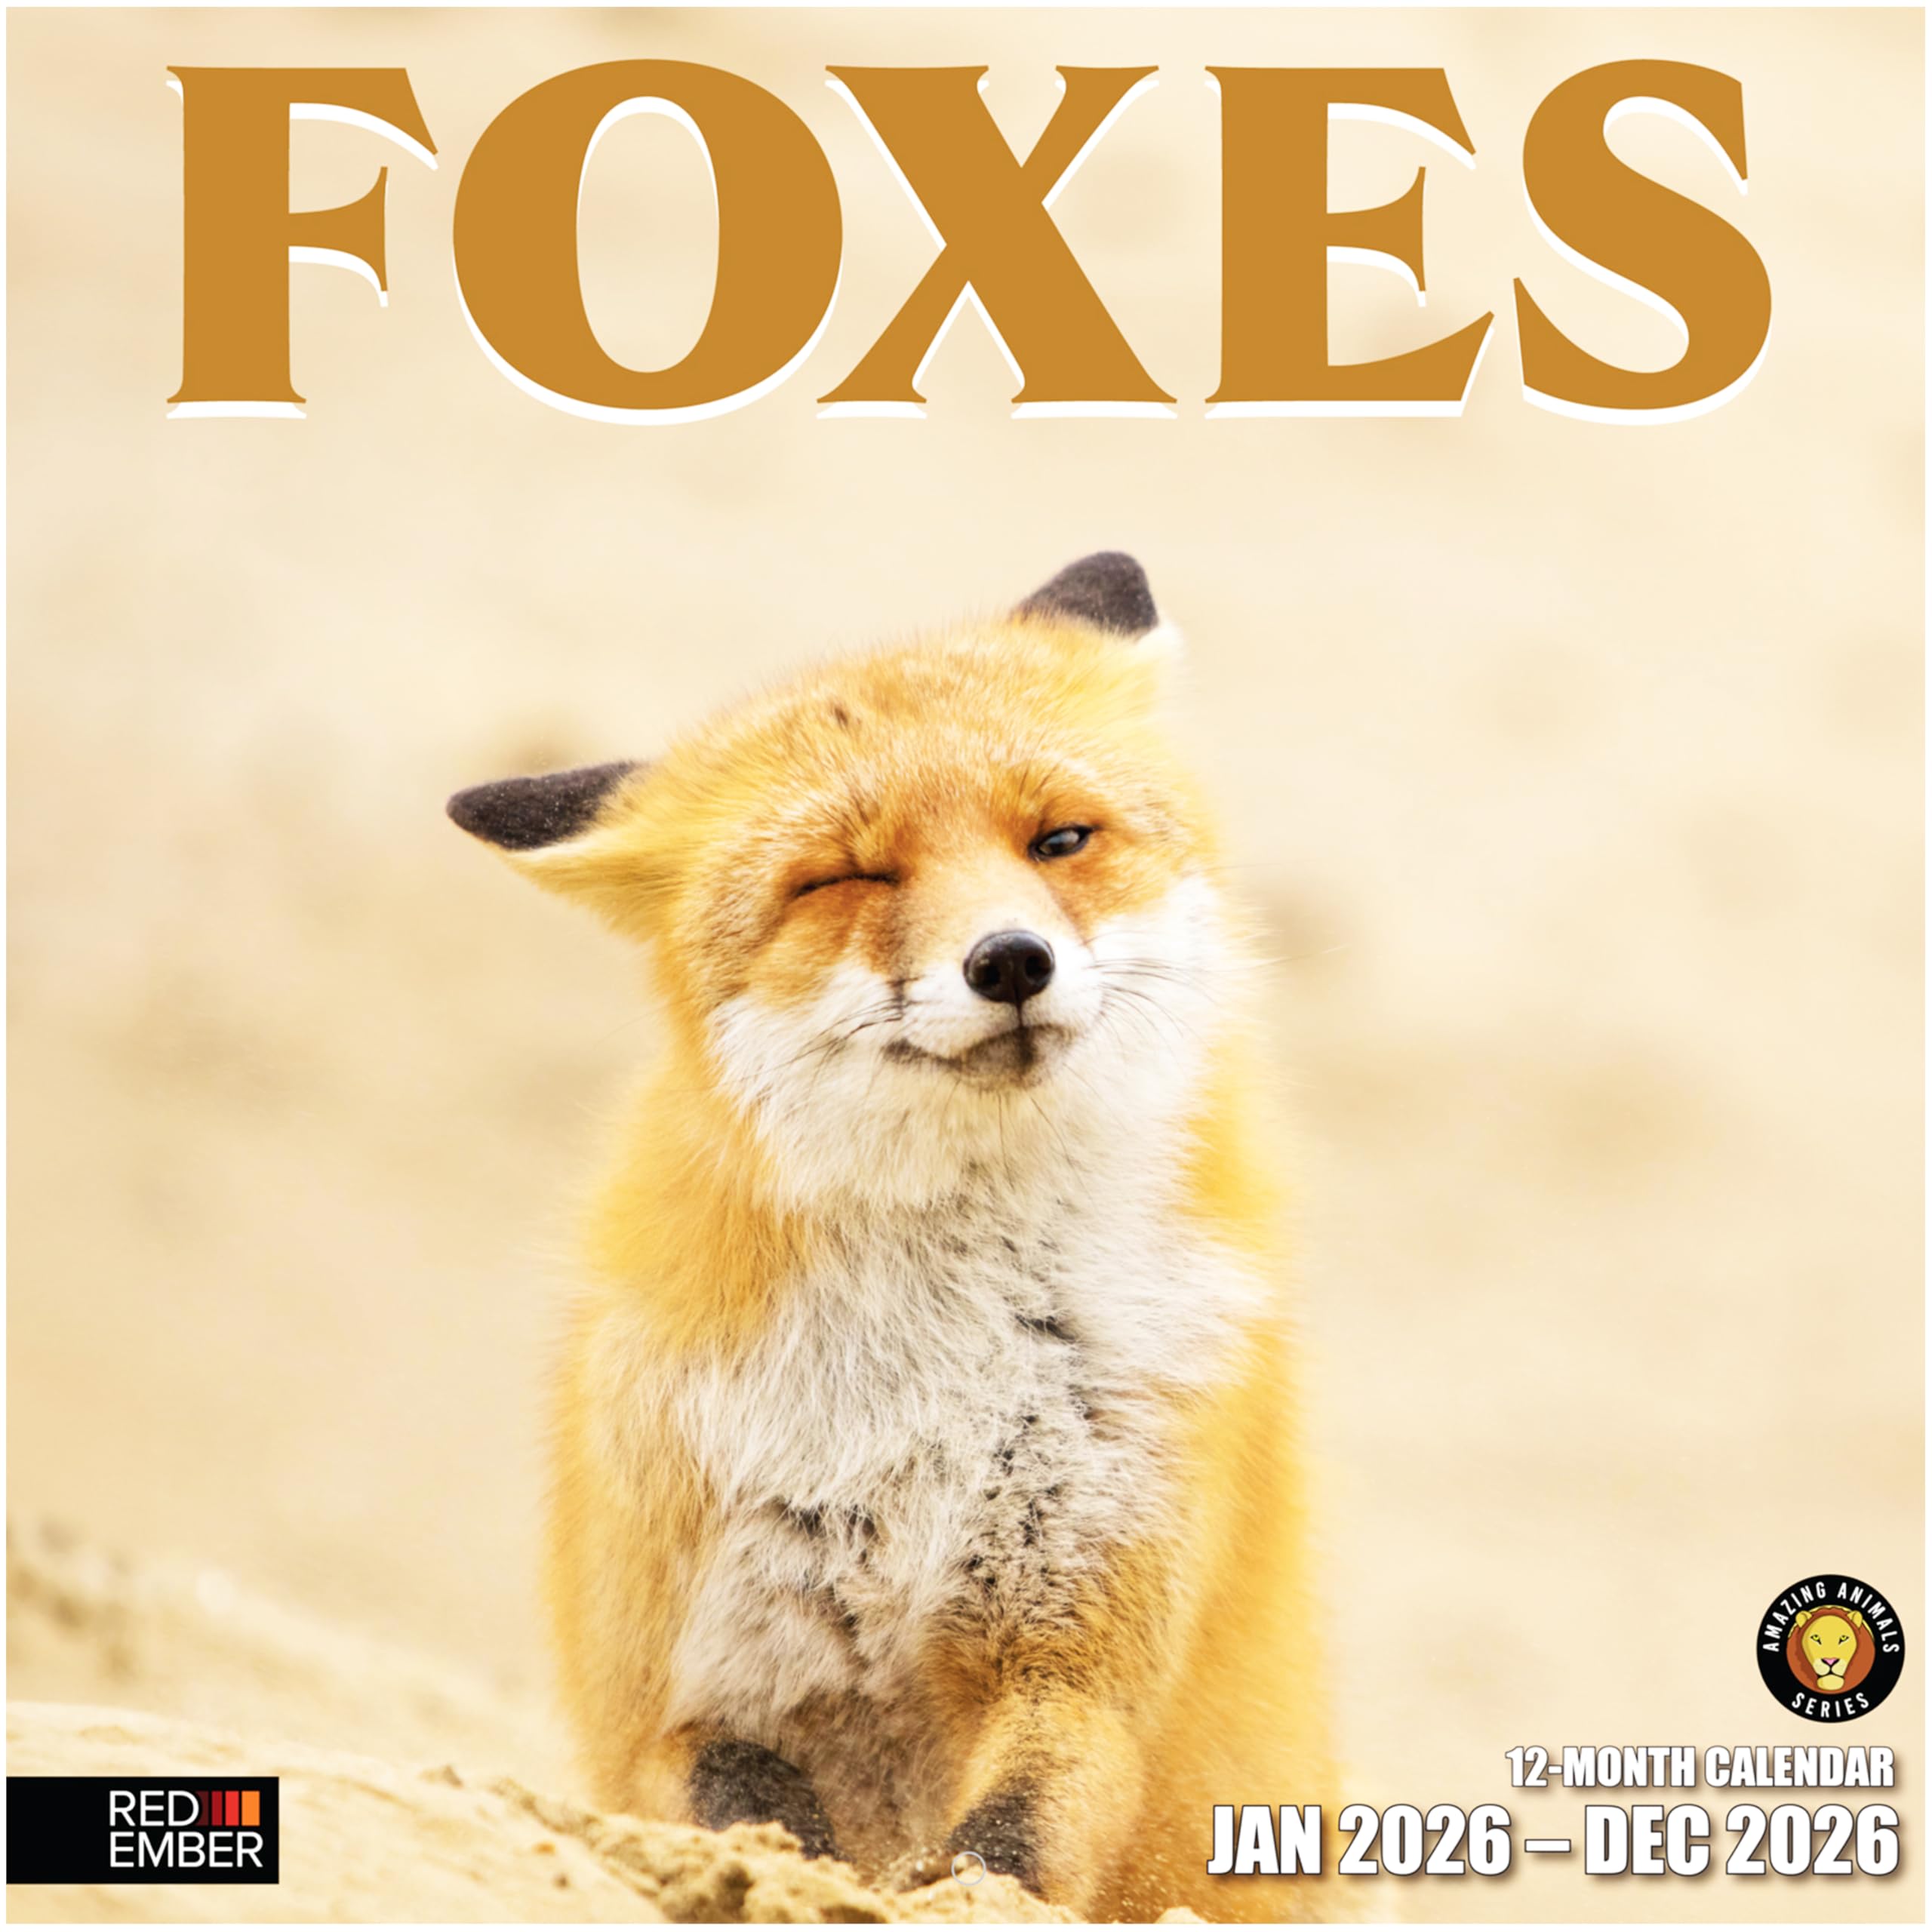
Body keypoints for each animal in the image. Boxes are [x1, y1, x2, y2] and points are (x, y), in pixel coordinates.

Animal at [448, 553, 1341, 1921]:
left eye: (1059, 840)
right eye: (846, 879)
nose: (1012, 960)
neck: (919, 1388)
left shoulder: (1080, 1657)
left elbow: (1007, 1849)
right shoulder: (683, 1693)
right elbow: (755, 1825)